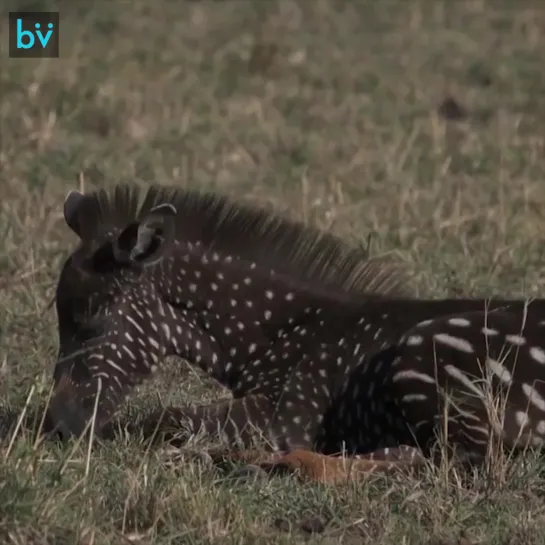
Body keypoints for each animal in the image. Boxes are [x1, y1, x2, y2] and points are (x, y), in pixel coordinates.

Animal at [45, 184, 544, 484]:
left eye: (92, 323)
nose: (56, 429)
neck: (281, 333)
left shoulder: (284, 415)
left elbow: (163, 419)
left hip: (426, 359)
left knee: (445, 462)